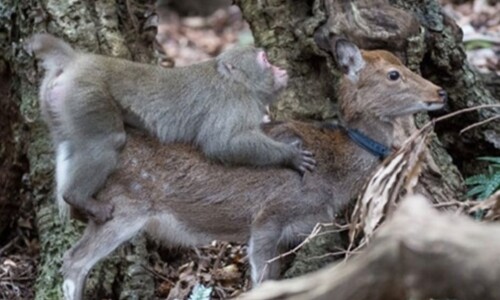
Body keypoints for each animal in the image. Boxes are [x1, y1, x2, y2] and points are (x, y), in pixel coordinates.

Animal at [26, 34, 316, 224]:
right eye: (264, 59)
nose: (280, 68)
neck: (238, 82)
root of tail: (77, 61)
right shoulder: (233, 102)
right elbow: (221, 144)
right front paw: (290, 155)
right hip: (86, 94)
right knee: (108, 141)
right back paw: (78, 198)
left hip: (57, 103)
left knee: (68, 144)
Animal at [60, 40, 448, 300]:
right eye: (394, 75)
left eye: (403, 63)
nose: (440, 92)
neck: (331, 173)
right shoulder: (268, 217)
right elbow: (261, 282)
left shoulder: (291, 231)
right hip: (122, 206)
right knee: (73, 261)